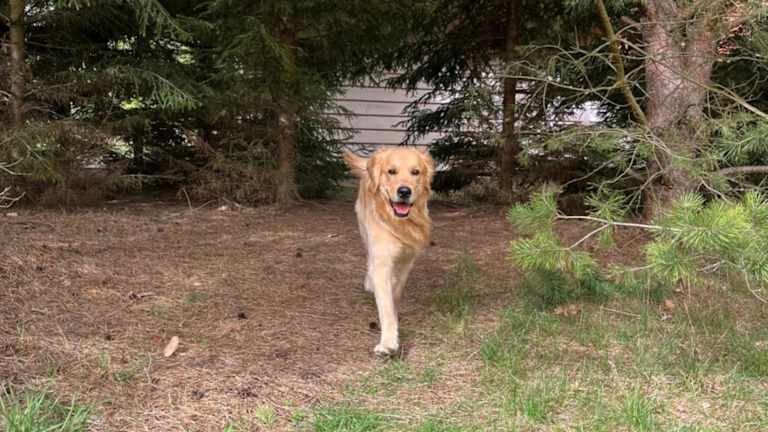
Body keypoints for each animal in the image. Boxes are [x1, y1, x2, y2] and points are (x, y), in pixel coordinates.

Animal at [343, 147, 434, 356]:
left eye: (415, 172)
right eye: (391, 171)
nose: (404, 191)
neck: (399, 223)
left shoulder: (407, 260)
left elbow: (395, 293)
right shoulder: (382, 260)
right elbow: (385, 306)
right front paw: (388, 342)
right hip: (364, 230)